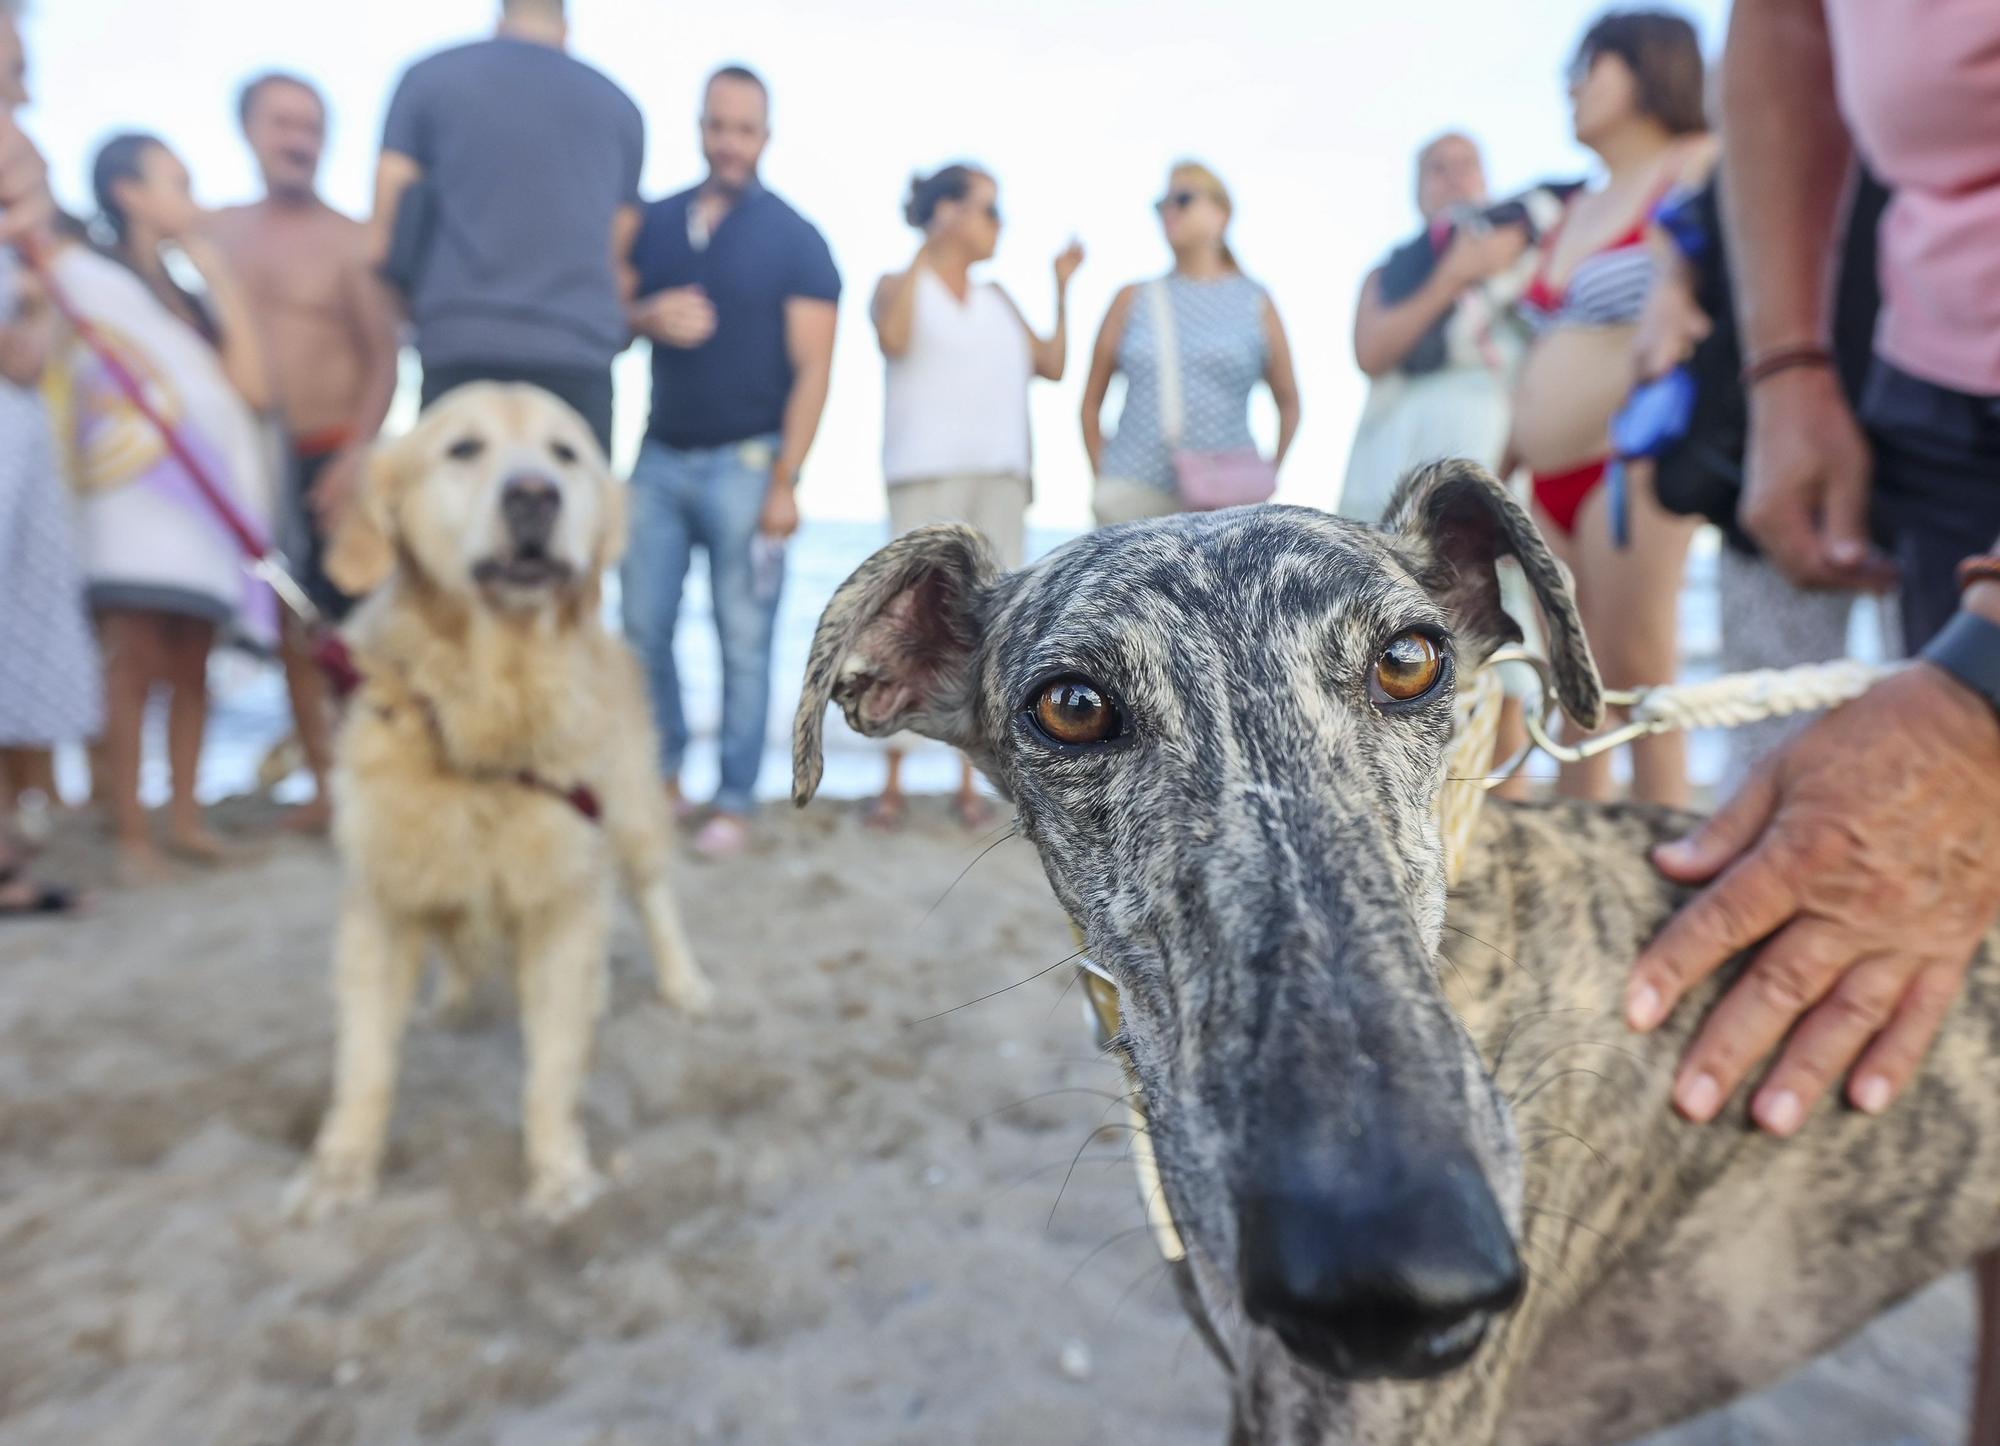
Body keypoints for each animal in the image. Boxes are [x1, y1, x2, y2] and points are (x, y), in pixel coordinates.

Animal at [286, 382, 712, 1224]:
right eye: (463, 448)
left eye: (565, 454)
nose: (535, 496)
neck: (488, 704)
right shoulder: (384, 898)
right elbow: (366, 1060)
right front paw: (341, 1167)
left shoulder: (561, 892)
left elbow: (553, 1064)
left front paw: (558, 1173)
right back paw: (453, 998)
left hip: (631, 812)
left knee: (651, 898)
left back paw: (680, 983)